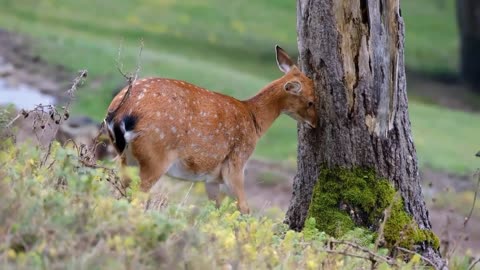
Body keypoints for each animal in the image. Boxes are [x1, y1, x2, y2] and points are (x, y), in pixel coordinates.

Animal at [103, 46, 316, 215]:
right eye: (311, 101)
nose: (316, 122)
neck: (254, 120)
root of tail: (120, 114)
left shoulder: (212, 178)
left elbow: (216, 209)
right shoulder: (236, 163)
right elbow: (244, 208)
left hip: (126, 158)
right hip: (155, 156)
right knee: (137, 198)